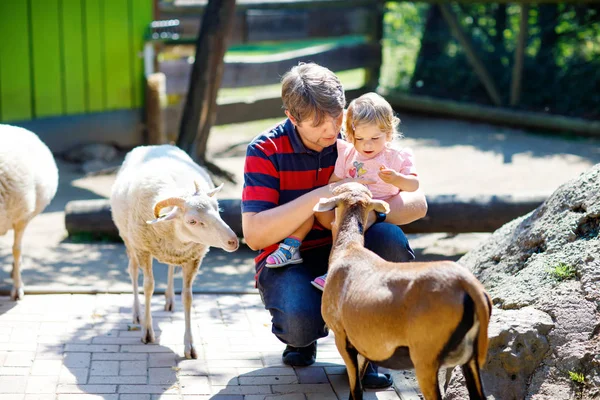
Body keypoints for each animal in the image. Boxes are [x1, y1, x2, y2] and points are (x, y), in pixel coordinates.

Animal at [110, 145, 239, 360]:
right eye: (192, 221)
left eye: (217, 209)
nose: (233, 241)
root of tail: (153, 146)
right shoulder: (143, 249)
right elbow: (148, 287)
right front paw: (147, 332)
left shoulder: (193, 257)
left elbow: (188, 297)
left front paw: (190, 346)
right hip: (129, 241)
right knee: (133, 272)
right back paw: (137, 314)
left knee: (170, 267)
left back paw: (169, 300)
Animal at [314, 184, 492, 400]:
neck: (349, 250)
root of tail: (467, 285)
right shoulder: (363, 341)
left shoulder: (341, 335)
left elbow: (356, 387)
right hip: (469, 357)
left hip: (426, 358)